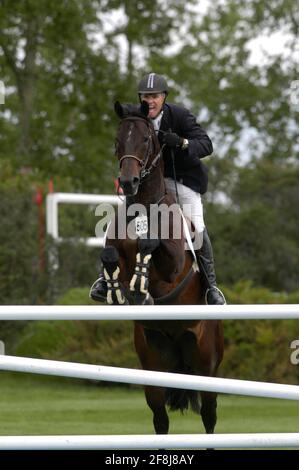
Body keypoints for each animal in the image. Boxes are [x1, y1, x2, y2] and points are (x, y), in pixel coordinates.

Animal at [101, 101, 225, 436]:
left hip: (206, 364)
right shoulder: (115, 249)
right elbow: (110, 256)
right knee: (160, 419)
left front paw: (141, 282)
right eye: (117, 140)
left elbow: (151, 246)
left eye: (146, 140)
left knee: (209, 416)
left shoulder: (173, 268)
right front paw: (116, 289)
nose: (128, 182)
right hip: (152, 364)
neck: (144, 206)